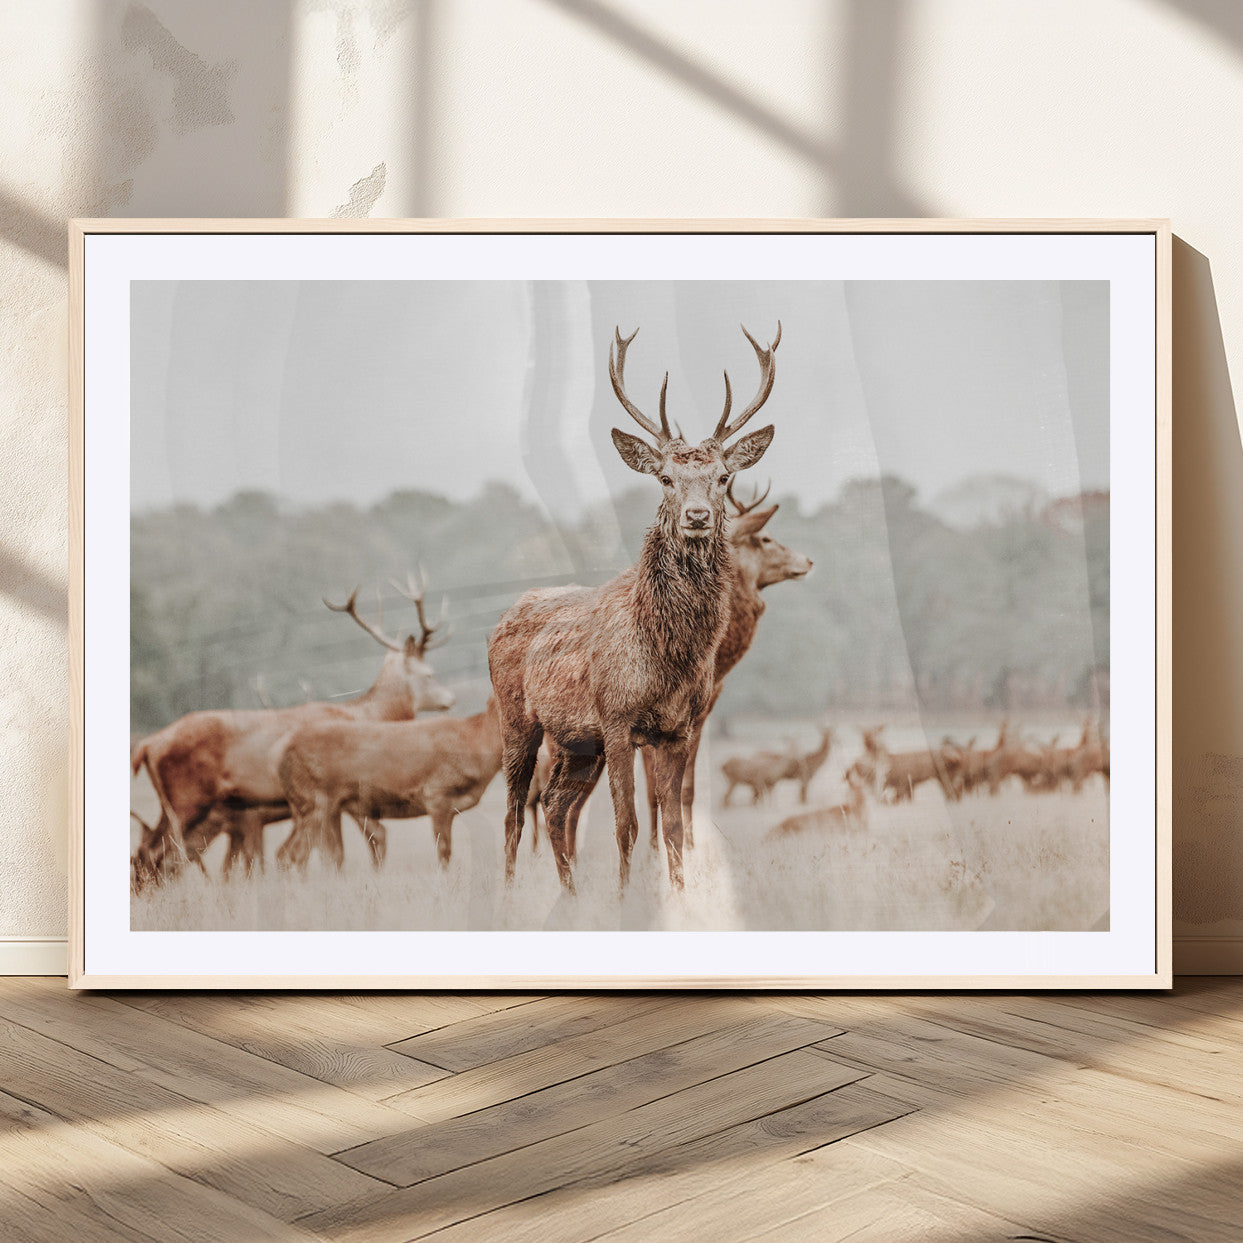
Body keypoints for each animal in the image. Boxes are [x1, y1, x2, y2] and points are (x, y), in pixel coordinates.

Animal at [129, 576, 454, 888]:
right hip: (187, 799)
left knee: (154, 852)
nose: (450, 699)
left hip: (176, 805)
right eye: (429, 674)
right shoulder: (344, 793)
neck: (366, 716)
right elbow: (348, 847)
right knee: (157, 853)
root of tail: (148, 744)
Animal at [277, 699, 502, 871]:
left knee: (291, 853)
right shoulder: (436, 794)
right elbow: (444, 850)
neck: (476, 744)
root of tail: (284, 757)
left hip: (309, 806)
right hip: (315, 801)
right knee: (296, 853)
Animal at [488, 322, 781, 892]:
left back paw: (570, 893)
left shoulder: (677, 729)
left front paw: (679, 894)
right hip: (519, 720)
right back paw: (510, 893)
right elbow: (627, 824)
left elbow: (673, 824)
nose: (696, 516)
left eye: (723, 477)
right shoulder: (618, 719)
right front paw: (625, 897)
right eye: (665, 478)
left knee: (554, 805)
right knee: (514, 812)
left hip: (576, 742)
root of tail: (503, 617)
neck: (666, 656)